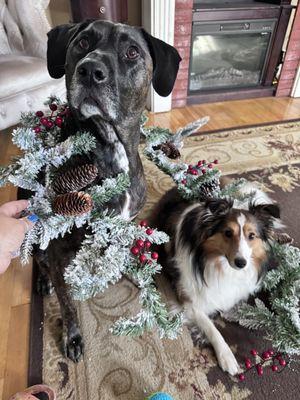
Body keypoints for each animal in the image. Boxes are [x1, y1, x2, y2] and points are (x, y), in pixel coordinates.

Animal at [34, 19, 182, 362]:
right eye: (82, 42)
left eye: (132, 52)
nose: (90, 70)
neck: (111, 146)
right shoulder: (59, 249)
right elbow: (67, 303)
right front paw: (73, 336)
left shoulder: (124, 225)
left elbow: (122, 251)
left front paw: (133, 272)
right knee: (39, 261)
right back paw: (43, 282)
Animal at [152, 183, 284, 376]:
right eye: (228, 233)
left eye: (252, 236)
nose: (241, 263)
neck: (220, 266)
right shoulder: (189, 302)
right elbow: (211, 328)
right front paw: (226, 356)